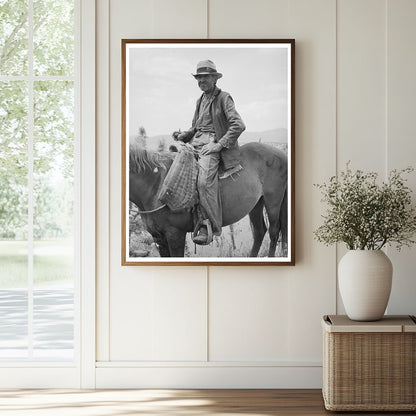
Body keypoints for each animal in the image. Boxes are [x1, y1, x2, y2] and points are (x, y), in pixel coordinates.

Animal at [128, 141, 288, 258]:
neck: (155, 185)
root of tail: (282, 154)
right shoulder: (159, 238)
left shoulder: (175, 235)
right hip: (256, 204)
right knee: (260, 231)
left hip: (273, 201)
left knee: (274, 231)